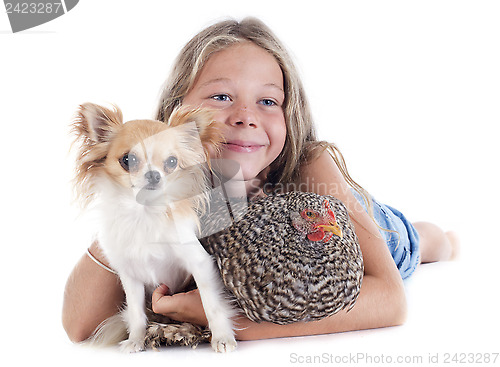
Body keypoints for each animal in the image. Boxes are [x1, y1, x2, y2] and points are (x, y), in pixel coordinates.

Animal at [72, 103, 236, 354]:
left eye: (172, 162)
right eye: (128, 160)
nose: (153, 175)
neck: (144, 214)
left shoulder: (199, 264)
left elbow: (212, 305)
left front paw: (223, 337)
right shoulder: (131, 276)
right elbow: (136, 313)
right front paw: (136, 340)